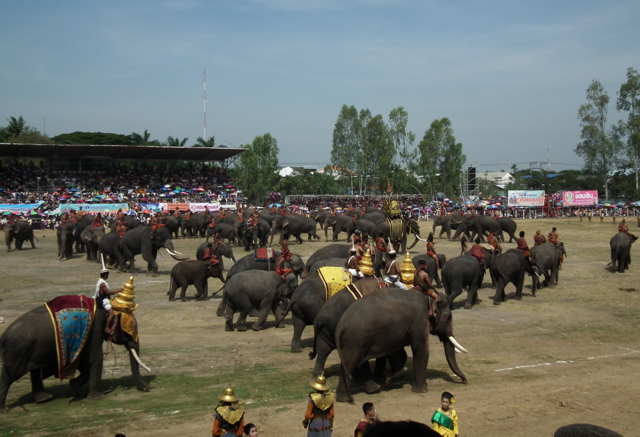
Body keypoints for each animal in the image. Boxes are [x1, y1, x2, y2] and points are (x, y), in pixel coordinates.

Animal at [0, 294, 149, 410]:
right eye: (129, 332)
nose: (147, 389)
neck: (104, 306)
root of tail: (3, 337)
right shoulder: (94, 329)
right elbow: (95, 358)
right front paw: (97, 398)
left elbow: (84, 362)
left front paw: (75, 387)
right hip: (17, 353)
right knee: (9, 376)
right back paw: (5, 409)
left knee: (34, 370)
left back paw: (45, 398)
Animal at [332, 286, 468, 402]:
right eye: (448, 317)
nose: (464, 381)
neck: (427, 296)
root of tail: (340, 325)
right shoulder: (419, 320)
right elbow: (420, 349)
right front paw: (421, 390)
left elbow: (399, 354)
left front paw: (387, 379)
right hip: (355, 341)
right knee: (350, 362)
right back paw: (346, 398)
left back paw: (370, 390)